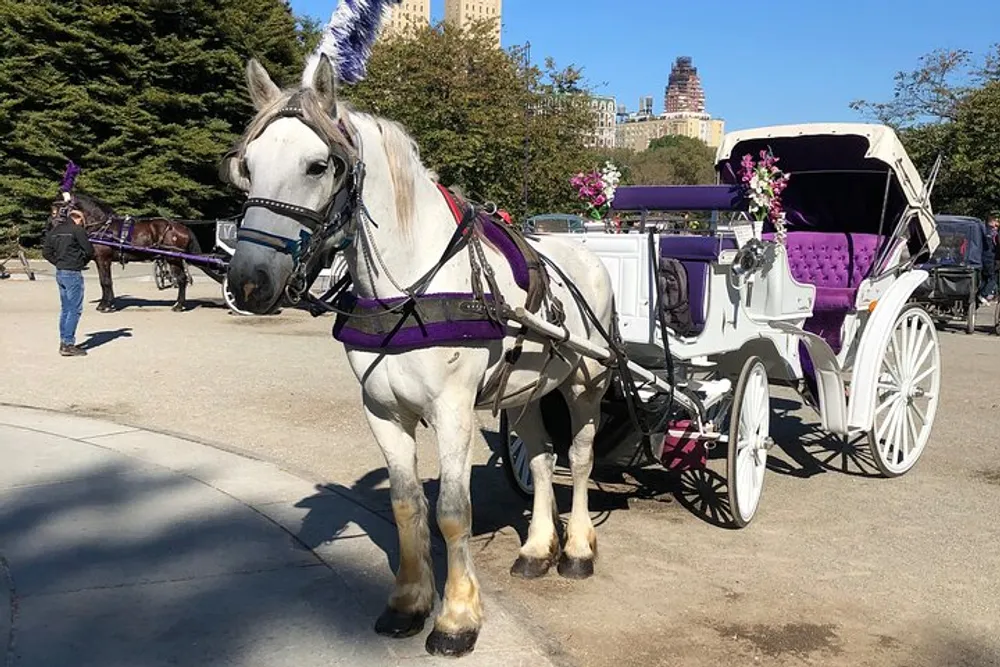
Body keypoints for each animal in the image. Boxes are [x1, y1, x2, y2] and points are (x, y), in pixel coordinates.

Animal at [55, 193, 214, 314]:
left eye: (61, 208)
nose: (53, 224)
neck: (102, 226)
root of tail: (182, 227)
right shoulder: (103, 261)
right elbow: (106, 281)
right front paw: (108, 303)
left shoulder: (103, 259)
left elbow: (105, 281)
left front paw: (105, 305)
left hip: (172, 258)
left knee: (181, 279)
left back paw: (179, 306)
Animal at [228, 56, 616, 656]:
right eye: (246, 166)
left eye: (318, 166)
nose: (249, 283)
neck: (409, 289)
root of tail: (587, 254)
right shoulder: (383, 412)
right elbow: (407, 504)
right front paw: (409, 602)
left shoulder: (452, 410)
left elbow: (453, 512)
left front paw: (457, 618)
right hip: (526, 392)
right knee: (542, 460)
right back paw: (535, 548)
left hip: (585, 385)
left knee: (577, 458)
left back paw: (575, 548)